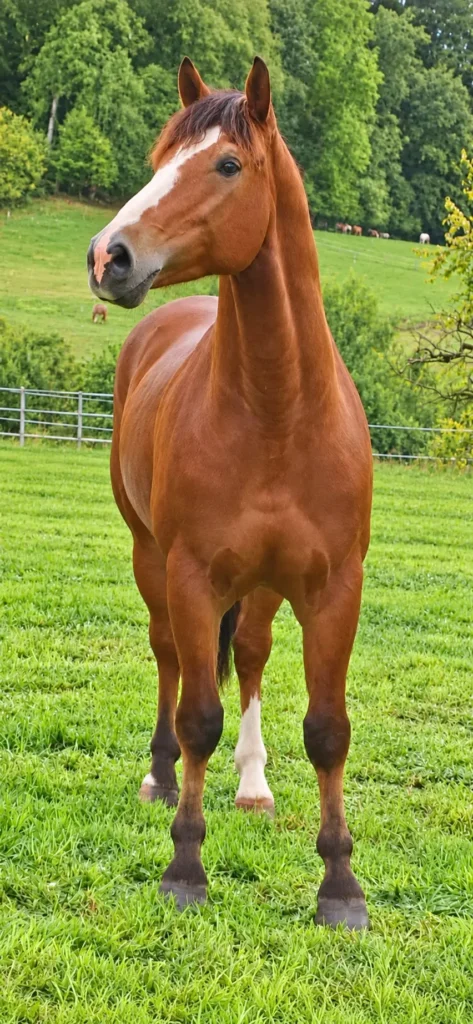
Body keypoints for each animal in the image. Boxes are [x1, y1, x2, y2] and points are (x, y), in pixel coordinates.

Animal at [87, 57, 373, 930]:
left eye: (226, 165)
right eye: (158, 159)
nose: (108, 256)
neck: (277, 410)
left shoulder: (332, 588)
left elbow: (326, 729)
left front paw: (339, 885)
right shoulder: (192, 575)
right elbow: (196, 716)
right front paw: (184, 868)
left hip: (265, 583)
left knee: (246, 654)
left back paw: (253, 784)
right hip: (150, 558)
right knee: (169, 659)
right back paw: (158, 775)